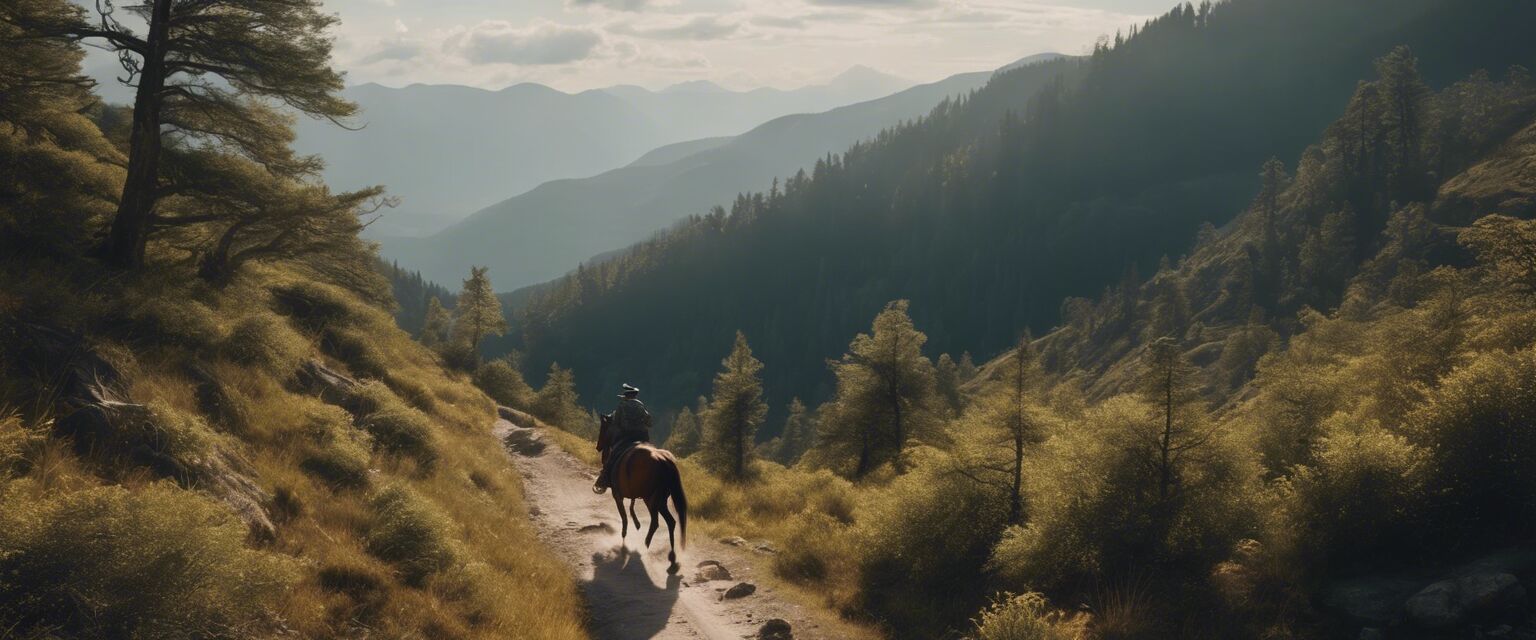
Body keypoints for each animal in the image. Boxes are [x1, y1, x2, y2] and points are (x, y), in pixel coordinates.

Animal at [595, 411, 688, 570]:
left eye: (603, 427)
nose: (598, 446)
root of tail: (664, 460)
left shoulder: (617, 496)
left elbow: (625, 518)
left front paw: (624, 541)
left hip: (651, 500)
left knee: (655, 522)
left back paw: (645, 545)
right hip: (661, 501)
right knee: (671, 522)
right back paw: (671, 556)